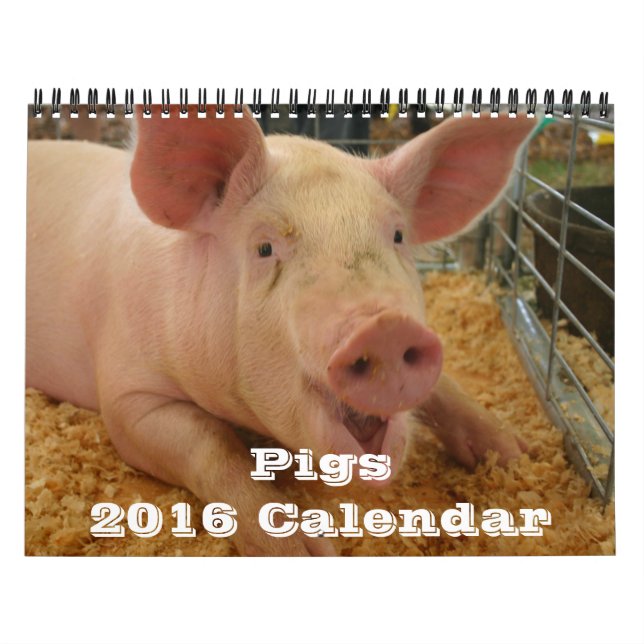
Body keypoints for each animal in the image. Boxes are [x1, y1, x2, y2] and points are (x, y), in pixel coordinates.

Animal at [26, 105, 535, 556]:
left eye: (397, 237)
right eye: (265, 247)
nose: (386, 327)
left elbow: (443, 385)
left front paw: (513, 454)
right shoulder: (126, 394)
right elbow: (213, 443)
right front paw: (307, 552)